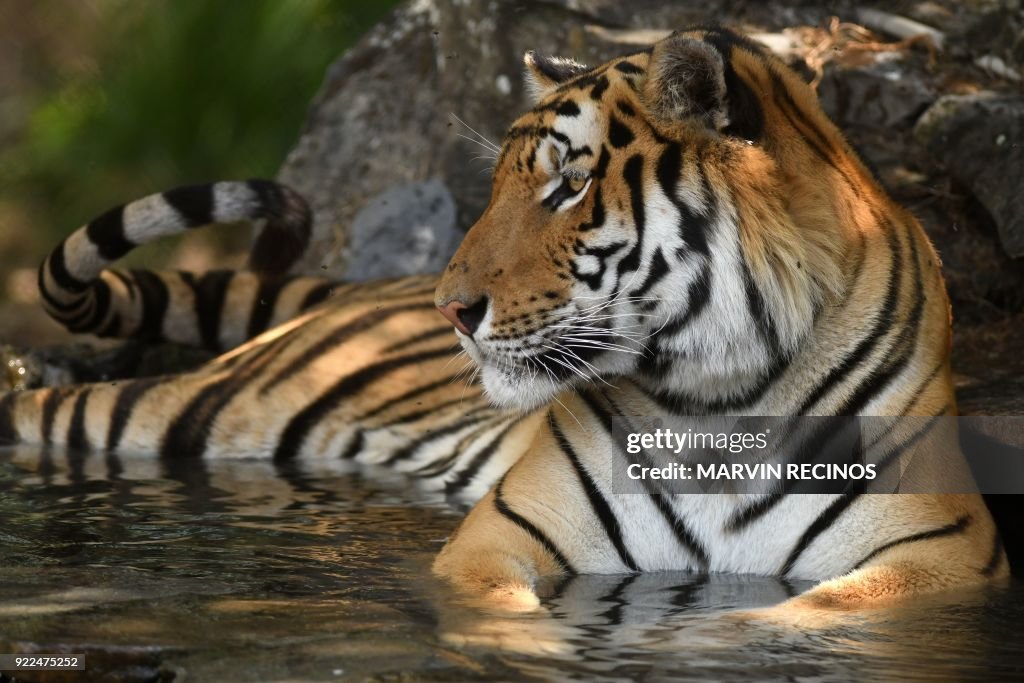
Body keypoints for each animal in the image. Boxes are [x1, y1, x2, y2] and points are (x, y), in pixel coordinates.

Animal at [0, 26, 1007, 614]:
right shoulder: (497, 536)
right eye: (496, 188)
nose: (451, 308)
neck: (717, 403)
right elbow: (501, 607)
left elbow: (819, 608)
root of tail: (374, 286)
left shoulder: (939, 547)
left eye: (568, 186)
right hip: (177, 411)